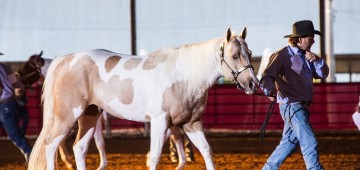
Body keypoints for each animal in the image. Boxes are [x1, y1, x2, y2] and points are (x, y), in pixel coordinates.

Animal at [28, 27, 258, 169]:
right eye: (234, 56)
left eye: (249, 52)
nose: (253, 84)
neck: (184, 75)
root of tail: (67, 60)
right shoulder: (159, 121)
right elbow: (155, 156)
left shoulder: (192, 123)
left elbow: (207, 151)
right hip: (67, 116)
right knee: (50, 145)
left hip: (90, 115)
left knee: (79, 148)